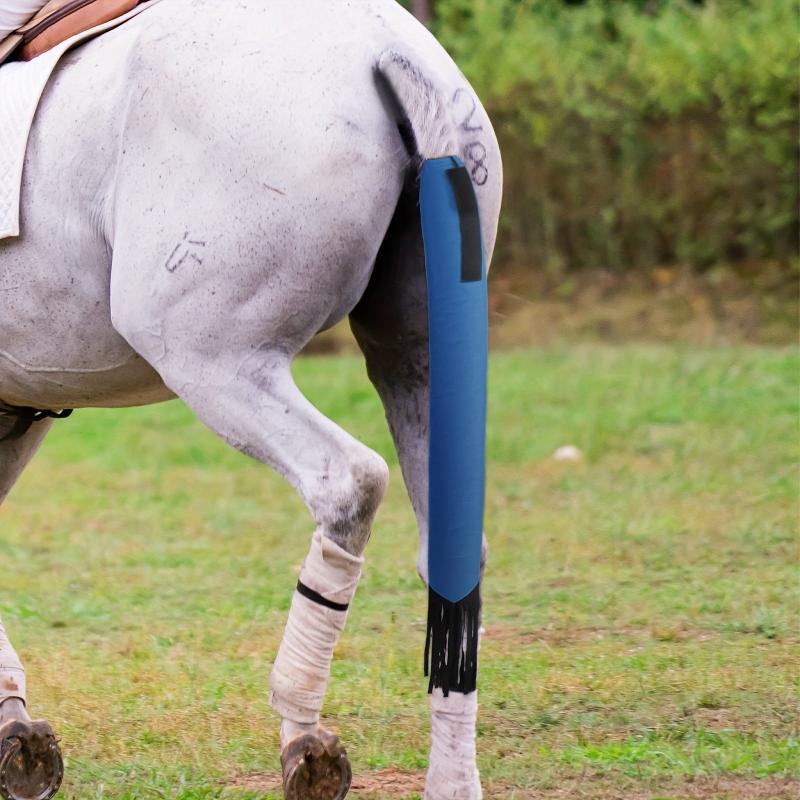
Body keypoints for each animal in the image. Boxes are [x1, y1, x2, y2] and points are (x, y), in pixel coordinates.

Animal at [0, 1, 502, 798]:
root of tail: (390, 47)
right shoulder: (19, 408)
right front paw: (15, 727)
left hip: (214, 360)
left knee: (347, 481)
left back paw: (304, 732)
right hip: (414, 357)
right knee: (449, 550)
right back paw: (450, 781)